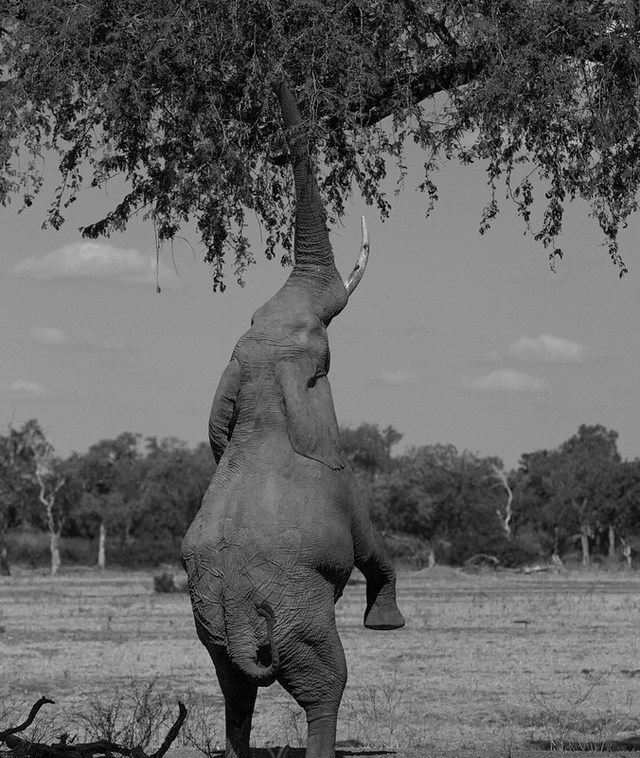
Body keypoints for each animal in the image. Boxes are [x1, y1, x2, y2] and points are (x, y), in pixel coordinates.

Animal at [180, 78, 404, 758]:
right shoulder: (338, 478)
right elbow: (368, 539)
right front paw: (388, 623)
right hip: (297, 610)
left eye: (255, 316)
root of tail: (234, 615)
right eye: (323, 356)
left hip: (210, 625)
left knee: (235, 691)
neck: (263, 400)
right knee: (324, 683)